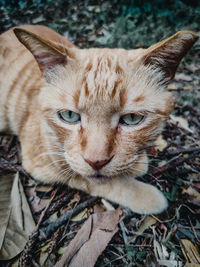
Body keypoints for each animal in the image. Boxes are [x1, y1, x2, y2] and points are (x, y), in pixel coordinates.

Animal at [0, 25, 197, 216]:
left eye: (132, 119)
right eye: (69, 116)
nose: (96, 162)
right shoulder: (41, 163)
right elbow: (98, 180)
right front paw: (144, 195)